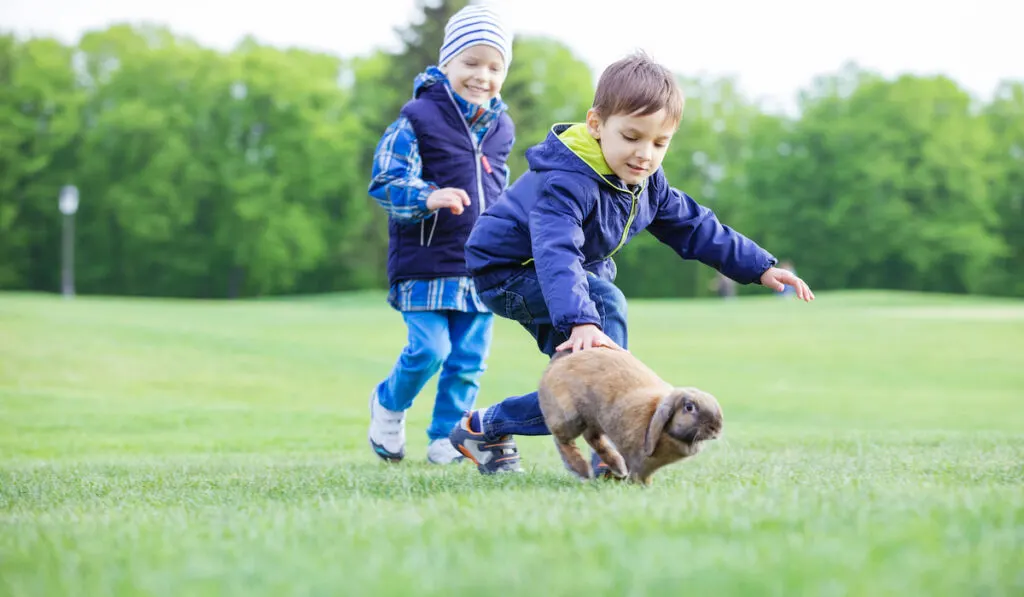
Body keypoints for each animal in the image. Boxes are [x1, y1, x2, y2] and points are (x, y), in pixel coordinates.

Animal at [536, 346, 720, 485]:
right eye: (689, 407)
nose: (716, 429)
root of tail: (556, 364)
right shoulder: (639, 462)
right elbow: (639, 476)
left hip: (594, 420)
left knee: (591, 438)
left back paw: (617, 466)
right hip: (570, 418)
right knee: (562, 441)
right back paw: (583, 469)